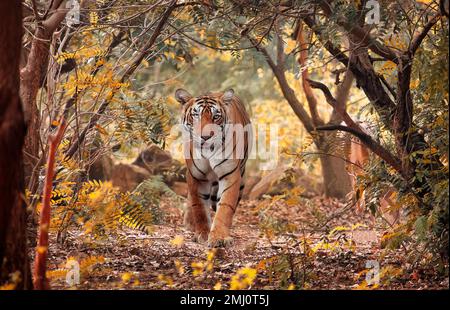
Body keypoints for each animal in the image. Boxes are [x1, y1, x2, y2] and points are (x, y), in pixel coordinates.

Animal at [175, 88, 251, 248]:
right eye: (196, 115)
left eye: (216, 116)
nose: (205, 137)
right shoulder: (195, 176)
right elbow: (199, 207)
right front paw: (202, 234)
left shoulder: (230, 175)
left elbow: (225, 207)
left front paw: (219, 237)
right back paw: (190, 224)